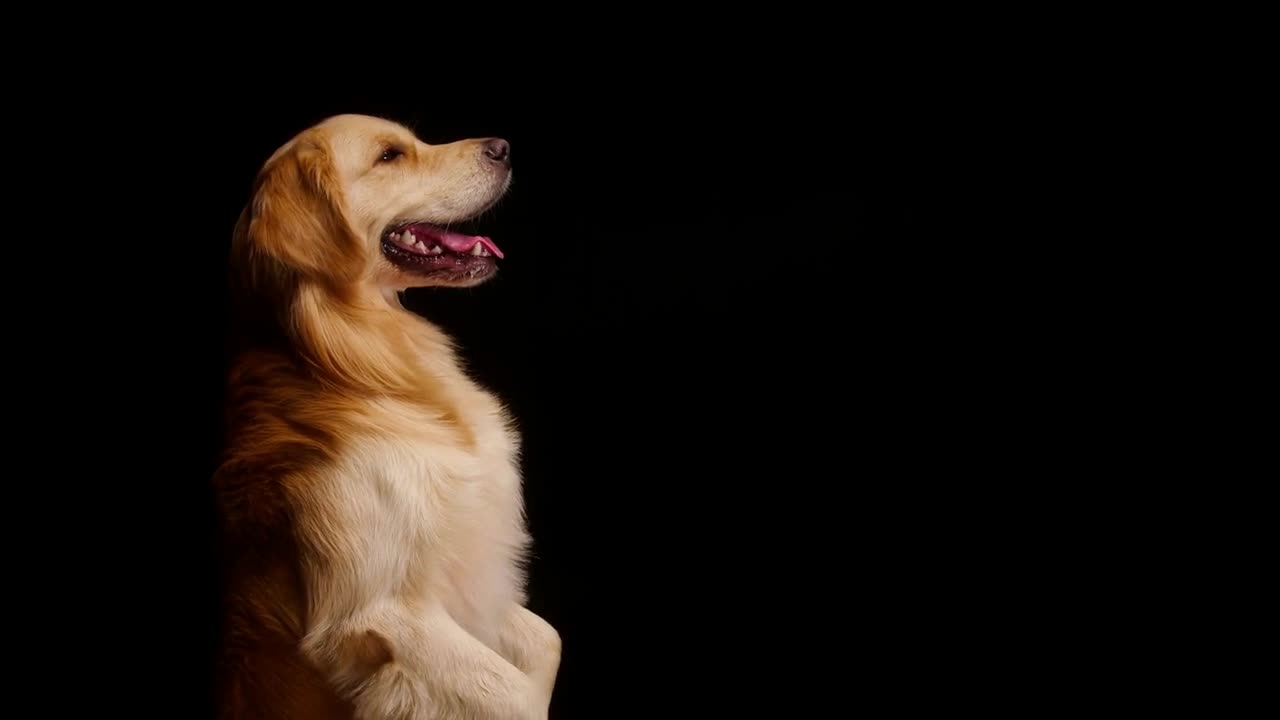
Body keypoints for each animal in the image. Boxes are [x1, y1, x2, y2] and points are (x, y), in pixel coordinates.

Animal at [212, 114, 558, 712]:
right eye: (390, 156)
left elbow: (547, 642)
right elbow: (516, 696)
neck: (358, 362)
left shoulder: (467, 578)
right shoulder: (379, 611)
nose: (502, 147)